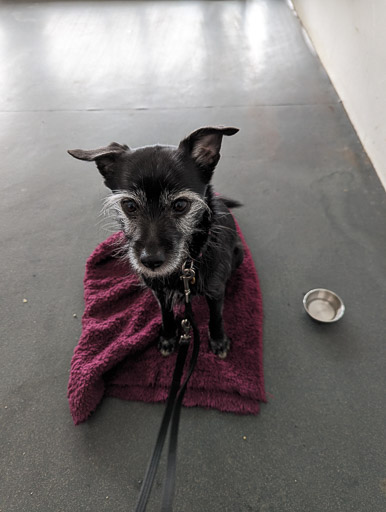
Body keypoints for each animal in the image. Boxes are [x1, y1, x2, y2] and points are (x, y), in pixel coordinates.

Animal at [68, 126, 244, 358]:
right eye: (129, 205)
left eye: (180, 204)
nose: (150, 261)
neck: (185, 267)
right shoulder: (159, 293)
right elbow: (166, 315)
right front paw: (168, 337)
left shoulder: (215, 293)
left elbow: (216, 317)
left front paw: (218, 340)